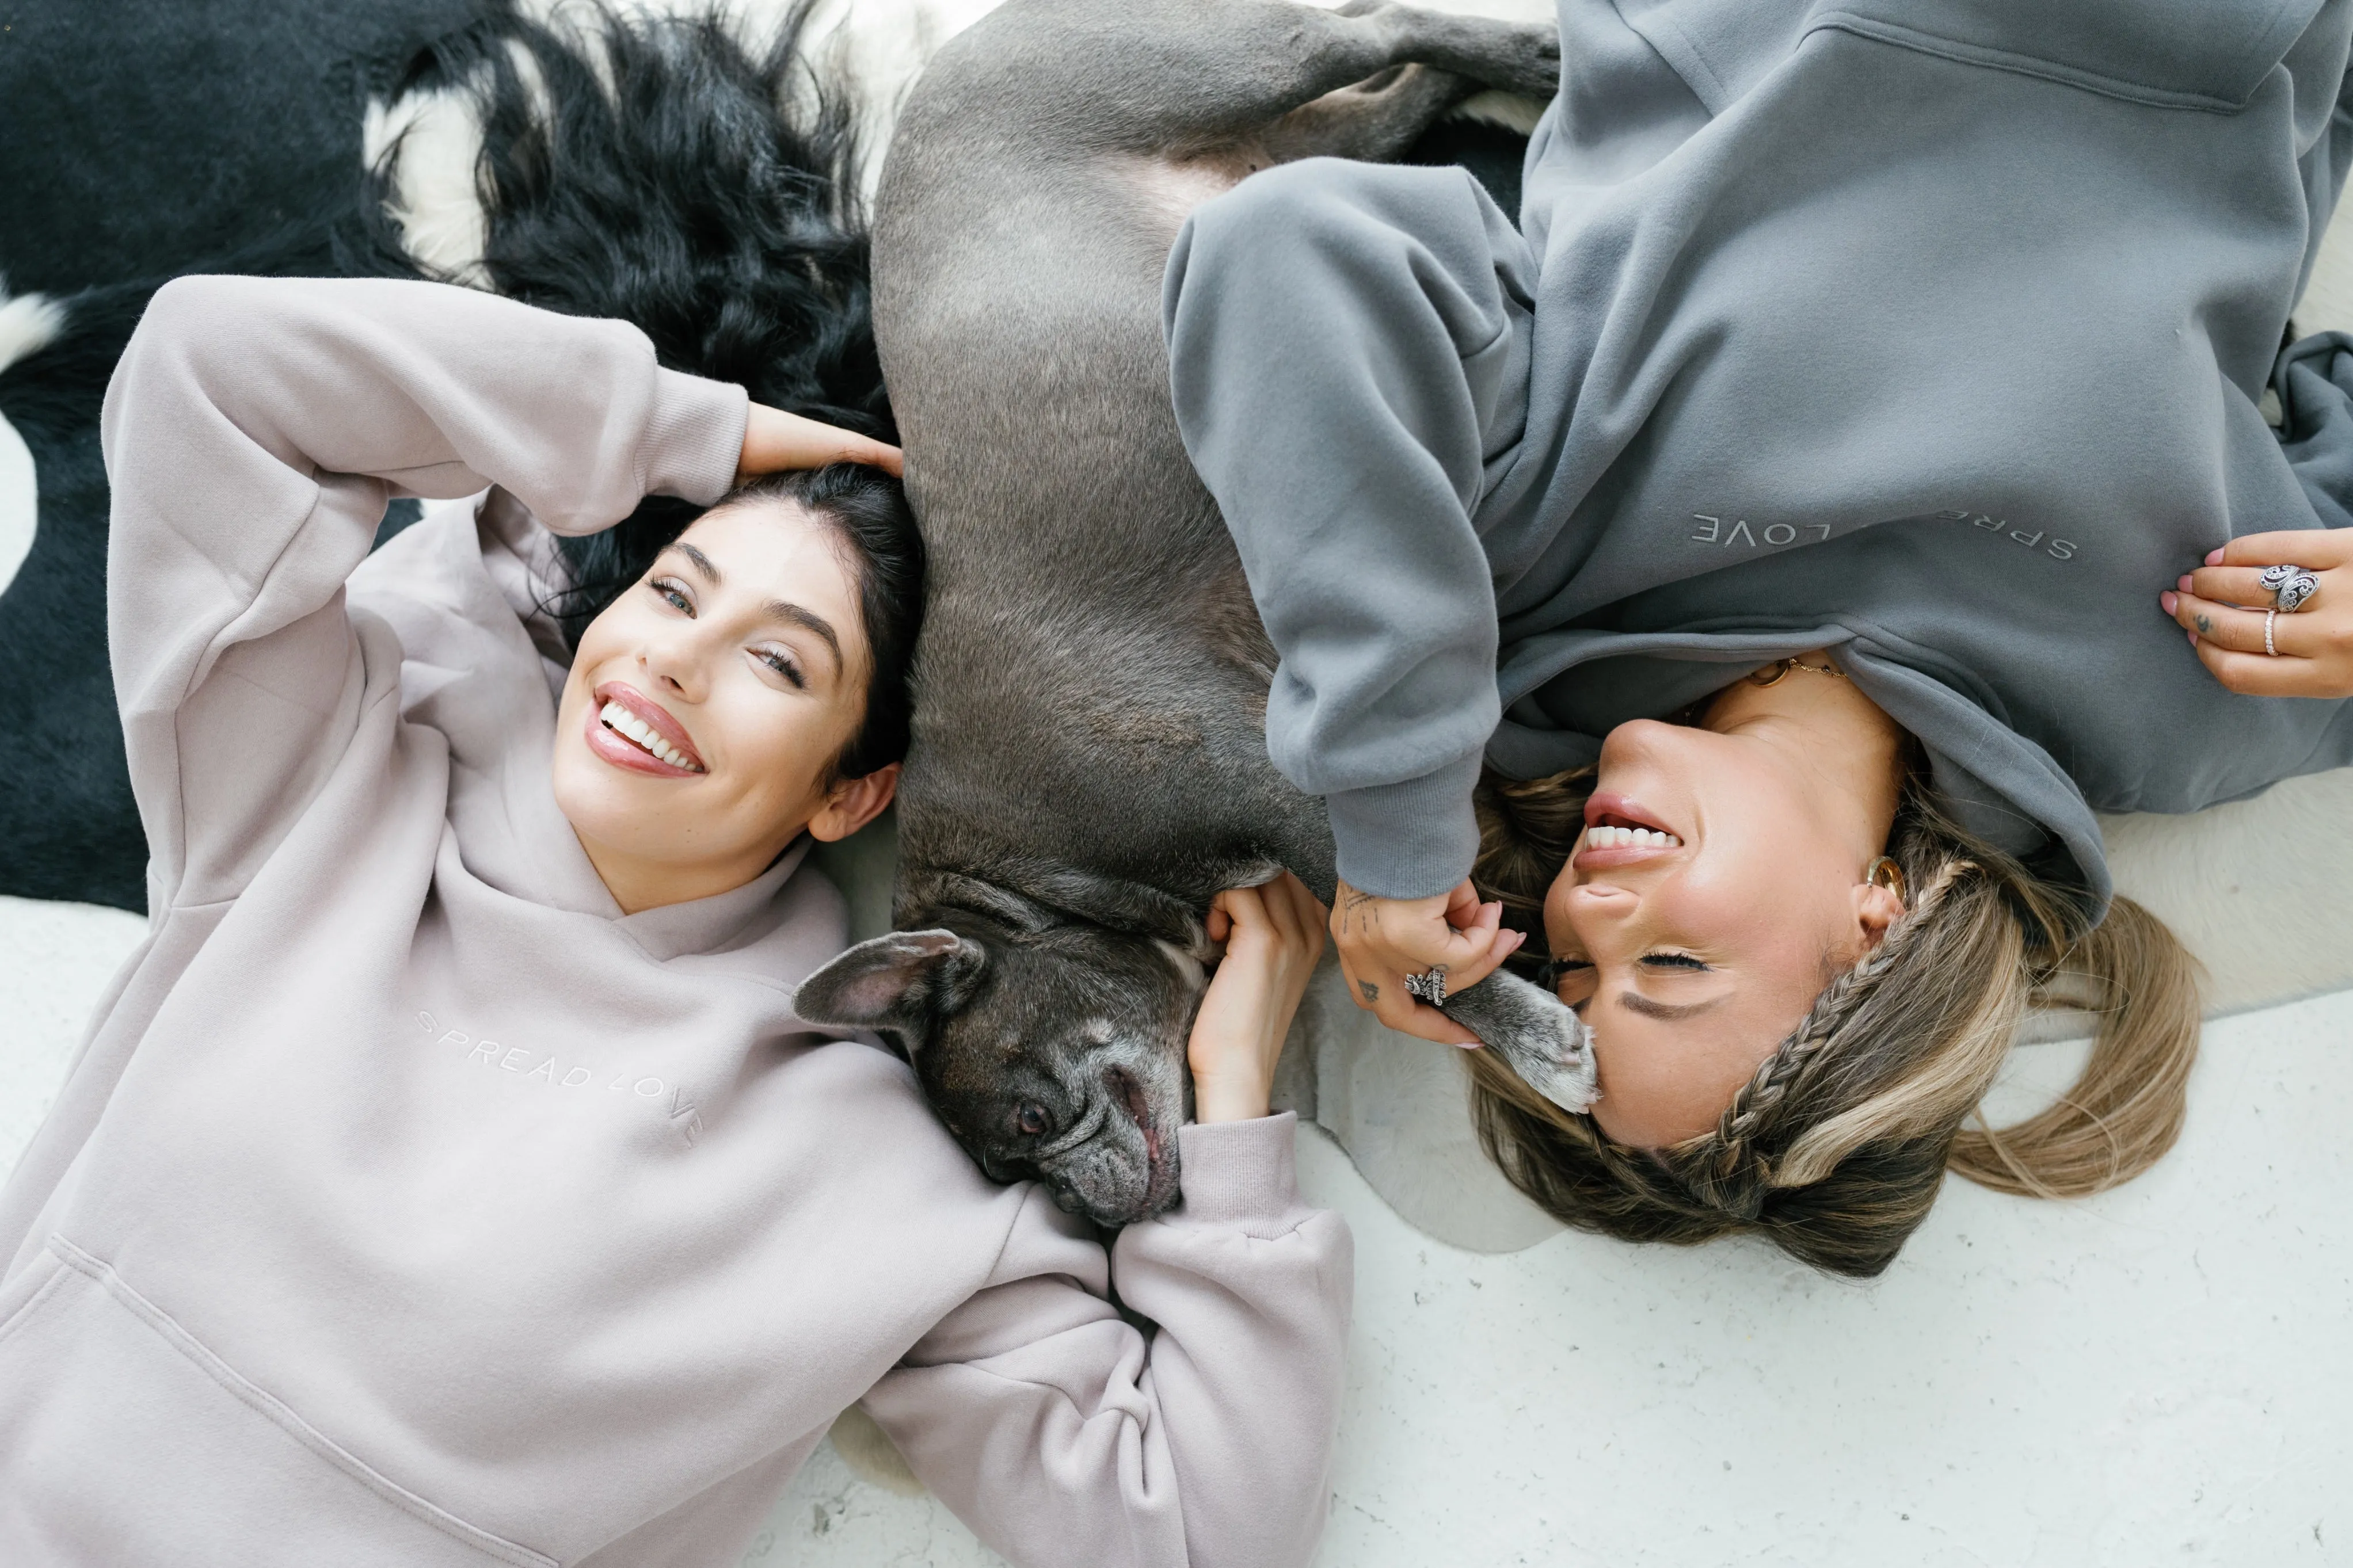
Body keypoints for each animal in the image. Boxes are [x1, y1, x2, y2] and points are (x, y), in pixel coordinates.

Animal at [795, 0, 1600, 1222]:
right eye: (1010, 1172)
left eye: (1026, 1125)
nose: (1083, 1213)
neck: (1031, 880)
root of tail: (970, 44)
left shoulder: (1265, 784)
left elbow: (1401, 928)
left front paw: (1529, 1034)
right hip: (1289, 142)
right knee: (1384, 97)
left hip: (1218, 63)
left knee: (1369, 31)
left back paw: (1532, 54)